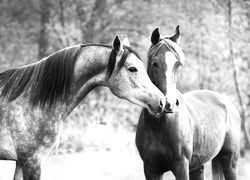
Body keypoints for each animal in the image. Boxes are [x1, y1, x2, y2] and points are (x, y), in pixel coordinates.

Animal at [136, 26, 241, 180]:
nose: (169, 103)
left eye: (178, 64)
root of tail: (227, 102)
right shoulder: (151, 170)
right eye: (155, 63)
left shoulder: (181, 167)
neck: (157, 124)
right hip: (198, 167)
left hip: (230, 162)